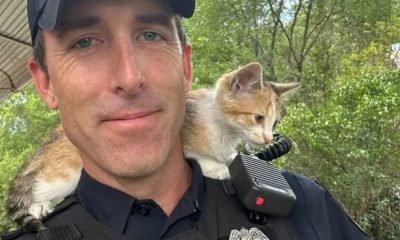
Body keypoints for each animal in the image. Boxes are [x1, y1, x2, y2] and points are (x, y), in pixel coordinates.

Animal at [7, 62, 300, 231]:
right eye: (258, 118)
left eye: (274, 122)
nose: (268, 140)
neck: (221, 126)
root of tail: (47, 142)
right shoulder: (176, 135)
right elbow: (197, 153)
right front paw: (217, 167)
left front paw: (234, 160)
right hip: (68, 171)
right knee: (40, 184)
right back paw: (38, 206)